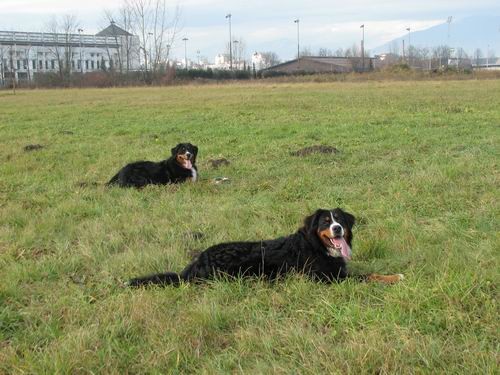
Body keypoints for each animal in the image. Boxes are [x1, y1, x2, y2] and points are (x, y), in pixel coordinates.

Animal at [127, 209, 404, 288]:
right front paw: (395, 276)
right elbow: (368, 275)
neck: (316, 246)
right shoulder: (328, 279)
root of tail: (197, 261)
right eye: (326, 222)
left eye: (341, 221)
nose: (337, 229)